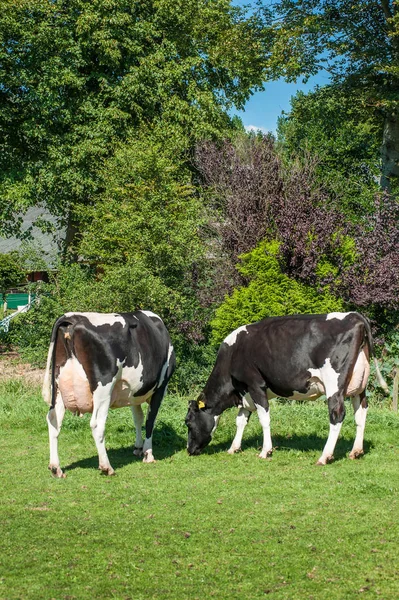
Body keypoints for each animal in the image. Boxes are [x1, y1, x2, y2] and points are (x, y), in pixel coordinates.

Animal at [42, 312, 177, 476]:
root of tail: (71, 317)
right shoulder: (161, 387)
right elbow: (149, 420)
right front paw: (148, 453)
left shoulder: (133, 392)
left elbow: (138, 418)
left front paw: (138, 448)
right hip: (103, 389)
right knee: (96, 424)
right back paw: (107, 467)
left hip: (58, 388)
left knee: (53, 420)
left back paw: (56, 468)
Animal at [186, 312, 390, 466]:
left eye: (188, 422)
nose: (189, 450)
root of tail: (354, 315)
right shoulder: (245, 392)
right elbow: (241, 421)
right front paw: (233, 448)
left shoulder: (255, 385)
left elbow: (264, 419)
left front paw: (265, 451)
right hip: (359, 386)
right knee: (361, 413)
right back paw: (356, 451)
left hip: (334, 384)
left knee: (337, 414)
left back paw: (324, 456)